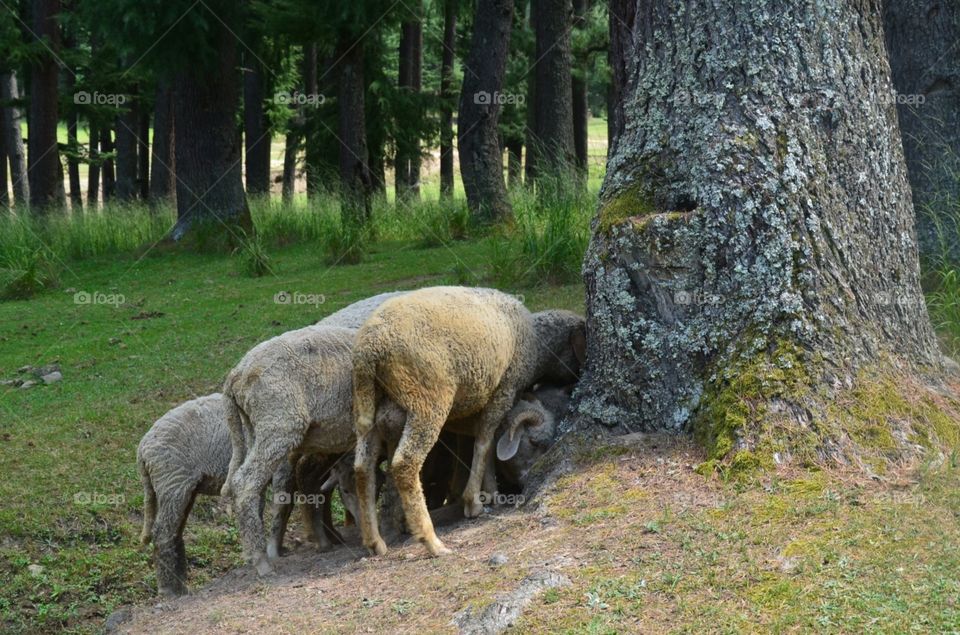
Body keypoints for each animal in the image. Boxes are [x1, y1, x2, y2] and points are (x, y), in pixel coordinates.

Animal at [137, 394, 352, 597]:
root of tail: (143, 449)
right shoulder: (283, 466)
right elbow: (284, 505)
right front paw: (274, 552)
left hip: (184, 487)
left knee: (175, 532)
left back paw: (181, 586)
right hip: (173, 483)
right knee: (162, 532)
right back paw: (169, 590)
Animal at [352, 286, 586, 557]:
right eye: (536, 444)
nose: (577, 383)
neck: (536, 343)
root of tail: (370, 349)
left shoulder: (467, 411)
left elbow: (485, 443)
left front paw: (491, 491)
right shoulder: (504, 390)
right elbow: (485, 440)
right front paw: (474, 500)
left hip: (368, 406)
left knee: (362, 468)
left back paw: (374, 541)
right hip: (427, 401)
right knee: (404, 464)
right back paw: (432, 541)